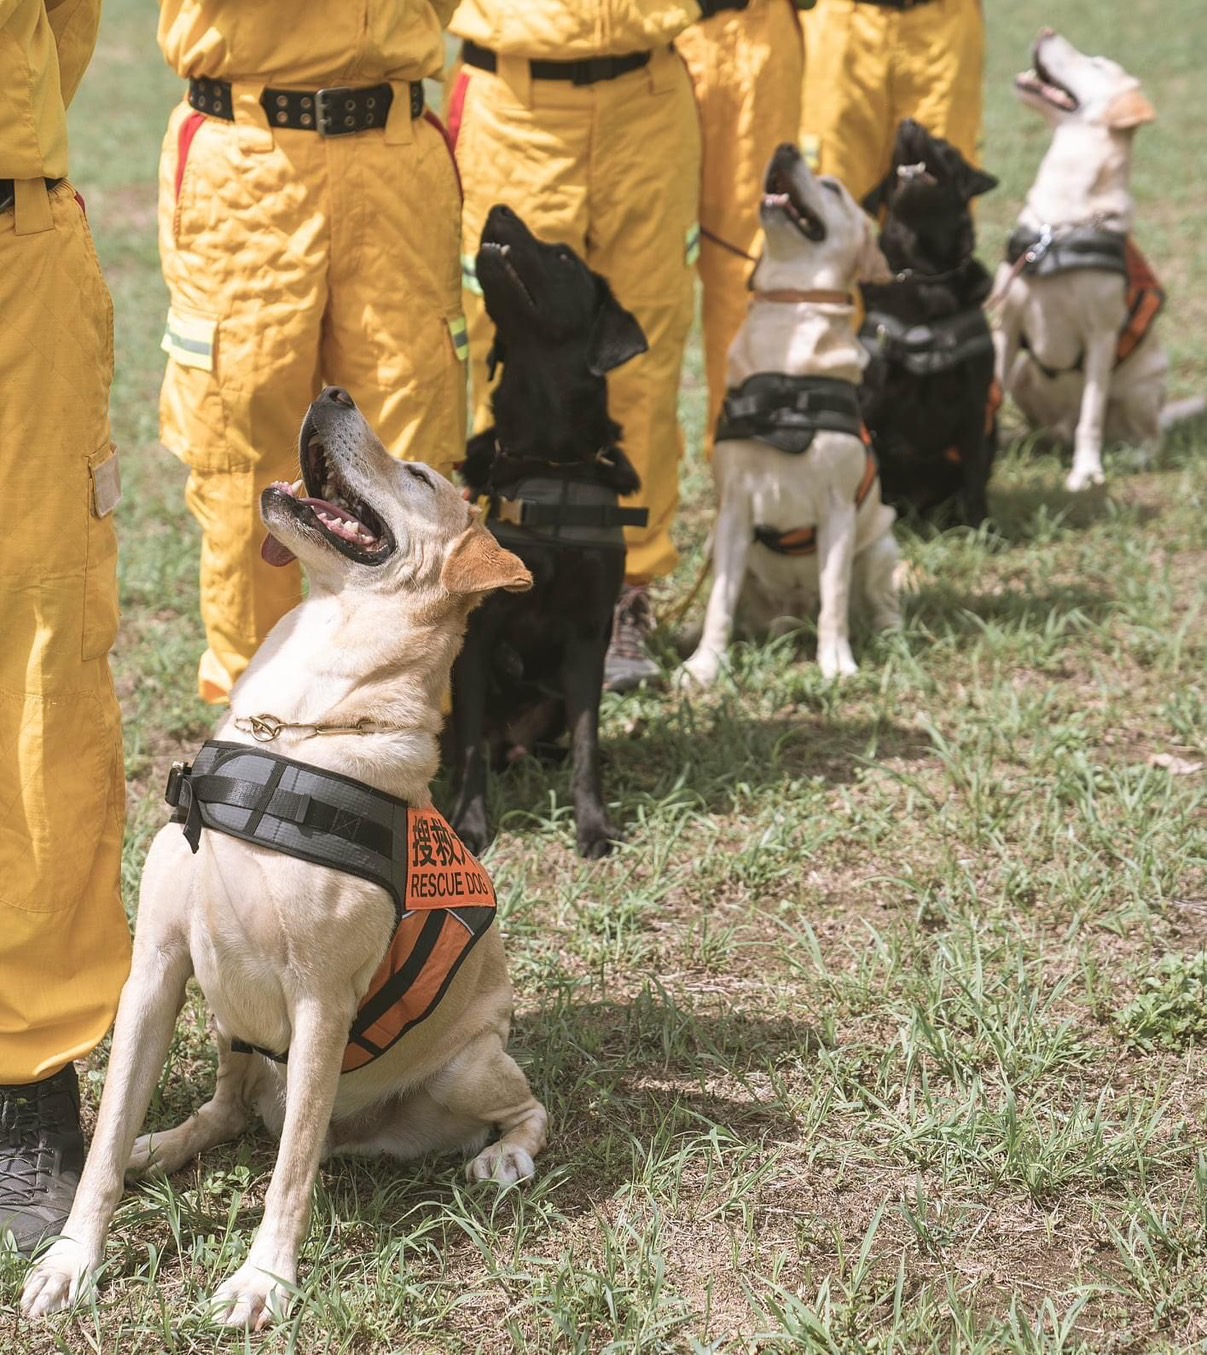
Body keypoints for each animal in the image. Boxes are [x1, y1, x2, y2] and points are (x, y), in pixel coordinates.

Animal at [23, 387, 544, 1327]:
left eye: (418, 475)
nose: (333, 393)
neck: (293, 730)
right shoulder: (156, 970)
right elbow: (105, 1139)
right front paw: (74, 1257)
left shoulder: (321, 1005)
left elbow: (290, 1171)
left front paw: (263, 1279)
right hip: (228, 1027)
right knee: (228, 1111)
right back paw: (167, 1142)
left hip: (468, 1066)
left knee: (524, 1106)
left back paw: (503, 1154)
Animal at [447, 203, 650, 856]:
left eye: (563, 257)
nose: (498, 209)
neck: (549, 460)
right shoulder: (479, 635)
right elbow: (468, 752)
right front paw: (468, 825)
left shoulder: (589, 635)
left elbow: (587, 741)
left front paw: (595, 825)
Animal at [680, 145, 899, 688]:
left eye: (833, 187)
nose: (785, 148)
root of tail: (793, 613)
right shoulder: (734, 509)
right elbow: (718, 603)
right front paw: (705, 665)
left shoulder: (838, 511)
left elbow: (836, 599)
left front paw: (837, 662)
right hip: (718, 544)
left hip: (882, 543)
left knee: (877, 600)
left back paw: (889, 634)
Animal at [861, 120, 1002, 528]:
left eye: (943, 145)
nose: (908, 124)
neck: (925, 277)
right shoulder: (872, 393)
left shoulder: (975, 400)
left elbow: (974, 475)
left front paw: (981, 529)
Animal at [991, 29, 1170, 493]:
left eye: (1097, 65)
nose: (1046, 31)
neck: (1060, 223)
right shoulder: (1007, 326)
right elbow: (990, 391)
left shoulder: (1101, 337)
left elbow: (1090, 415)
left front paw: (1086, 472)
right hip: (1026, 375)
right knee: (1046, 423)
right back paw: (1029, 439)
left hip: (1144, 386)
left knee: (1146, 435)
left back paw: (1131, 454)